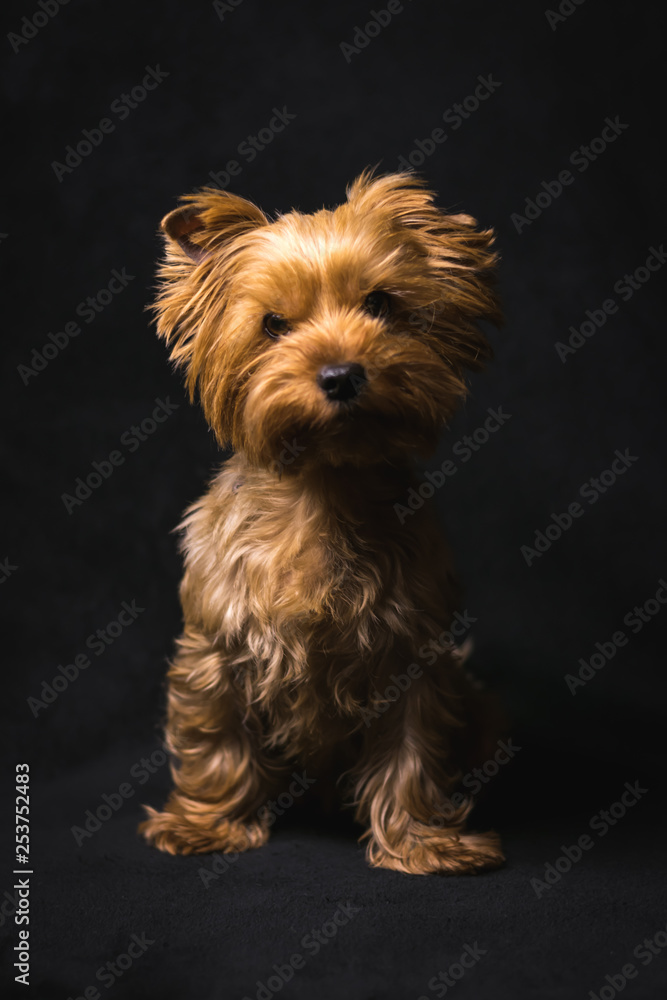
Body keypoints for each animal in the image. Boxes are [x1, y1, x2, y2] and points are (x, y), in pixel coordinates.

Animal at [142, 172, 506, 876]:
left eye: (381, 304)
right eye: (272, 324)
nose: (341, 375)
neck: (324, 492)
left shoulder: (413, 656)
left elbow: (412, 755)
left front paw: (421, 842)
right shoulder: (215, 646)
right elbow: (216, 740)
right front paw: (207, 825)